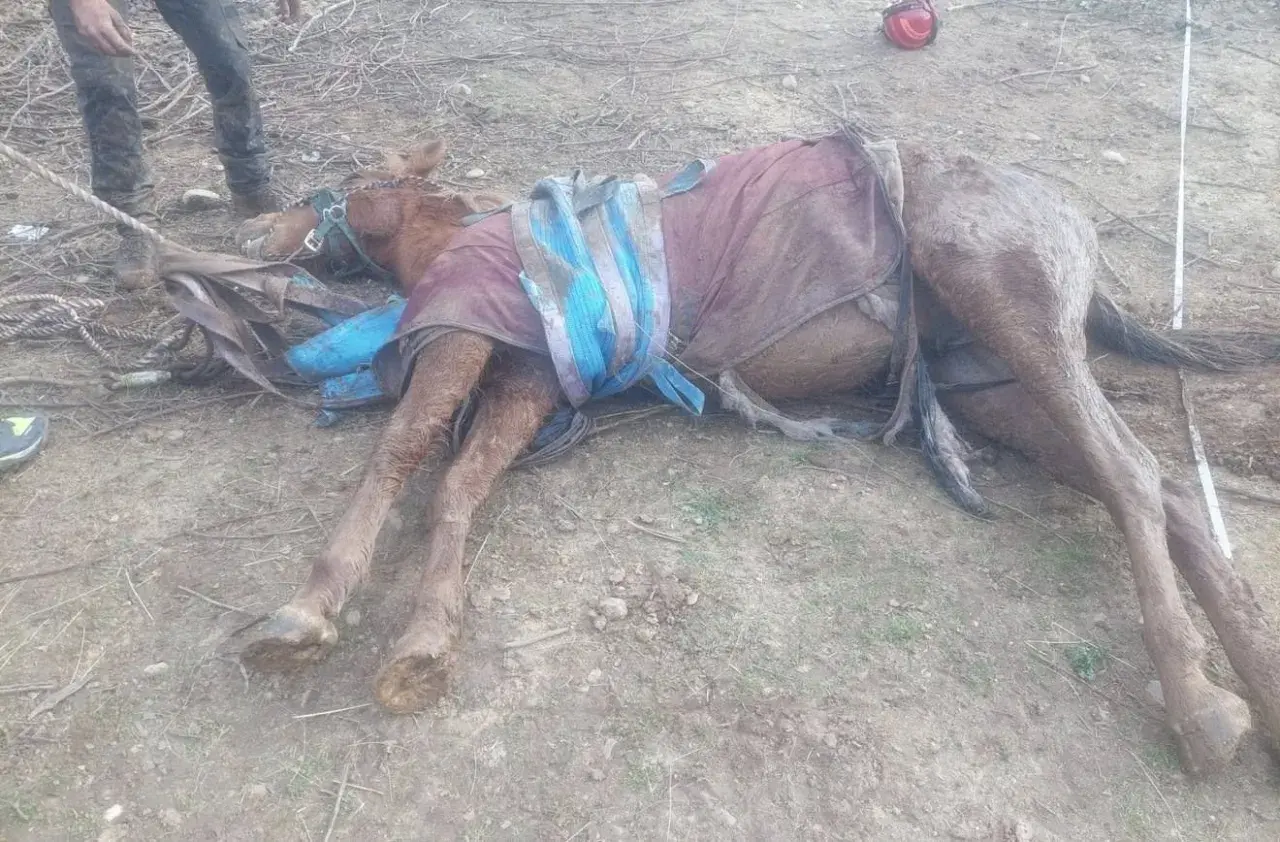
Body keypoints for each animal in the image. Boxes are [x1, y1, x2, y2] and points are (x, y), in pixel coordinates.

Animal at [233, 132, 1280, 777]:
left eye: (326, 187)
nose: (248, 232)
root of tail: (1068, 221)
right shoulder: (531, 380)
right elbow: (460, 479)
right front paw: (425, 637)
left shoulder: (463, 340)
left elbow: (404, 453)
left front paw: (315, 615)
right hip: (991, 386)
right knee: (1159, 491)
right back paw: (1258, 693)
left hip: (1013, 315)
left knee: (1134, 474)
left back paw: (1202, 709)